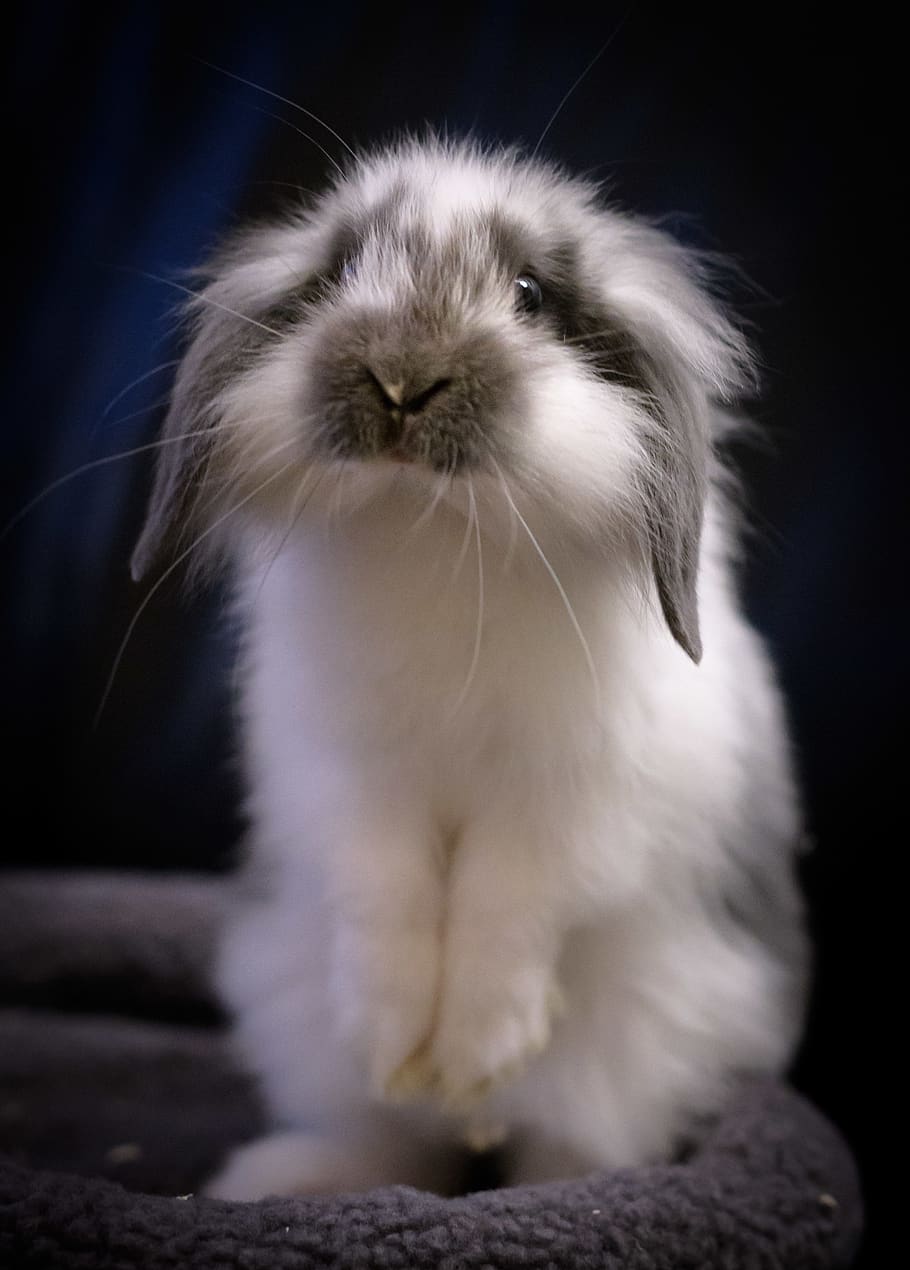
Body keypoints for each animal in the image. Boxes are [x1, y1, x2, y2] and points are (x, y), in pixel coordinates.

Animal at [131, 135, 809, 1199]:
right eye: (339, 272)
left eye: (530, 293)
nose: (401, 383)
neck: (436, 525)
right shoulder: (344, 783)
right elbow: (386, 899)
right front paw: (401, 1042)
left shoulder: (578, 803)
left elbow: (509, 903)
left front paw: (477, 1048)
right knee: (398, 1140)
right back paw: (290, 1175)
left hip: (648, 1047)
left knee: (556, 1142)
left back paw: (542, 1170)